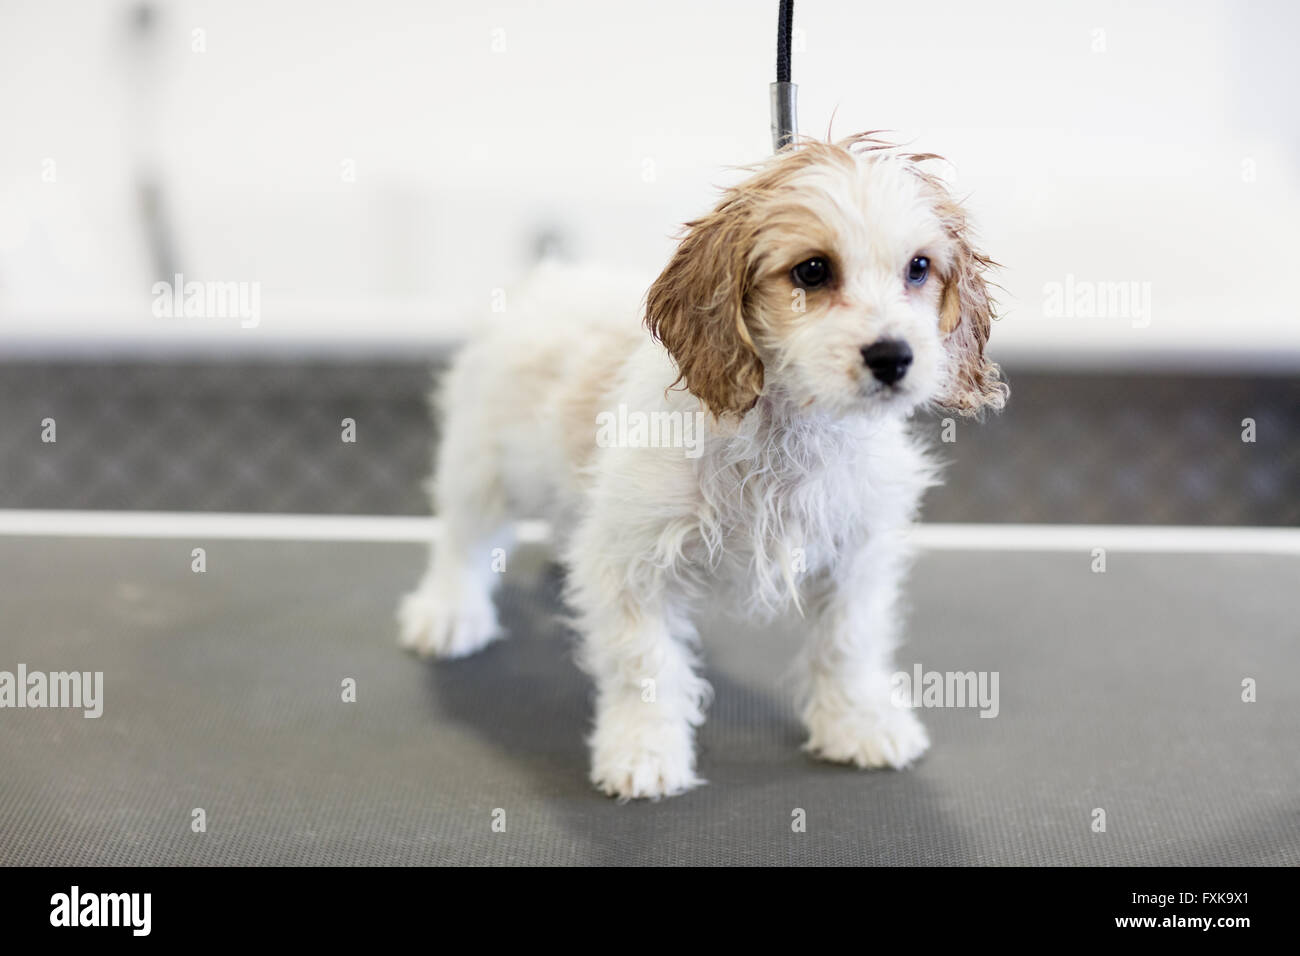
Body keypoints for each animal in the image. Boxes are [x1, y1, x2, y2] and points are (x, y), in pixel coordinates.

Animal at [397, 132, 1003, 801]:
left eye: (918, 268)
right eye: (812, 270)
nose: (893, 356)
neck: (789, 428)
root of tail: (551, 278)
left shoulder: (858, 551)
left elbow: (850, 640)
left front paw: (859, 720)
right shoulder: (633, 562)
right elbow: (645, 663)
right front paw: (643, 748)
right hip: (482, 462)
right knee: (464, 536)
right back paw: (450, 610)